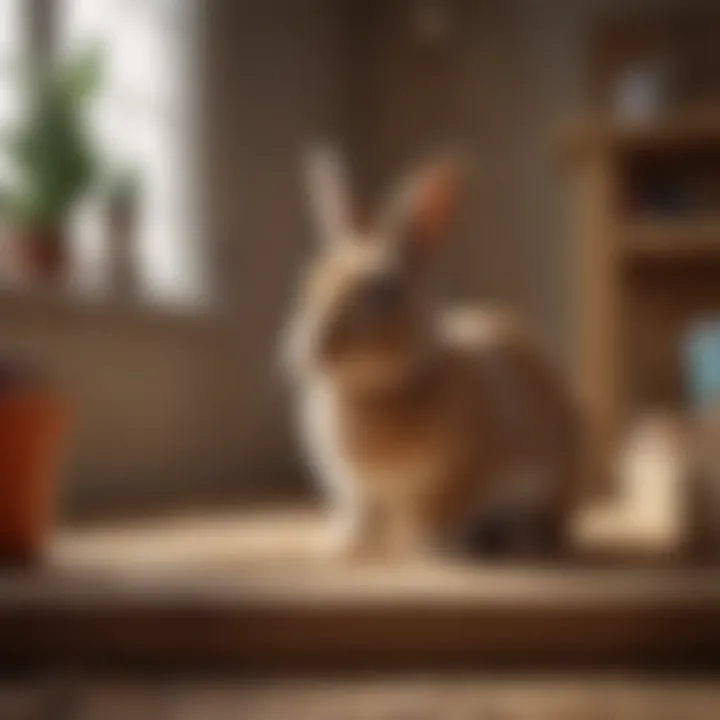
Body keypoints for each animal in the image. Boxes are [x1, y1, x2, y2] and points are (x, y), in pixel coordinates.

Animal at [282, 149, 580, 560]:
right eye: (313, 279)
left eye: (383, 290)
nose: (313, 348)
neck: (371, 392)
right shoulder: (355, 491)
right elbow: (359, 518)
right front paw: (340, 546)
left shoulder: (459, 476)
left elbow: (437, 515)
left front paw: (431, 550)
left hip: (546, 490)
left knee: (542, 524)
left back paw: (514, 541)